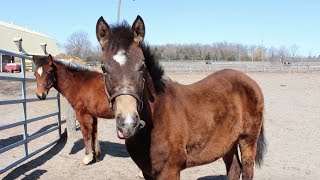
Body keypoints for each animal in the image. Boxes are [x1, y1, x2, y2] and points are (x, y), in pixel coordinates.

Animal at [96, 15, 266, 180]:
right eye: (103, 68)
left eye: (142, 66)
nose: (128, 123)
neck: (158, 115)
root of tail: (249, 81)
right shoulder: (147, 172)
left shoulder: (170, 171)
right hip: (228, 143)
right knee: (234, 170)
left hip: (248, 140)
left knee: (247, 171)